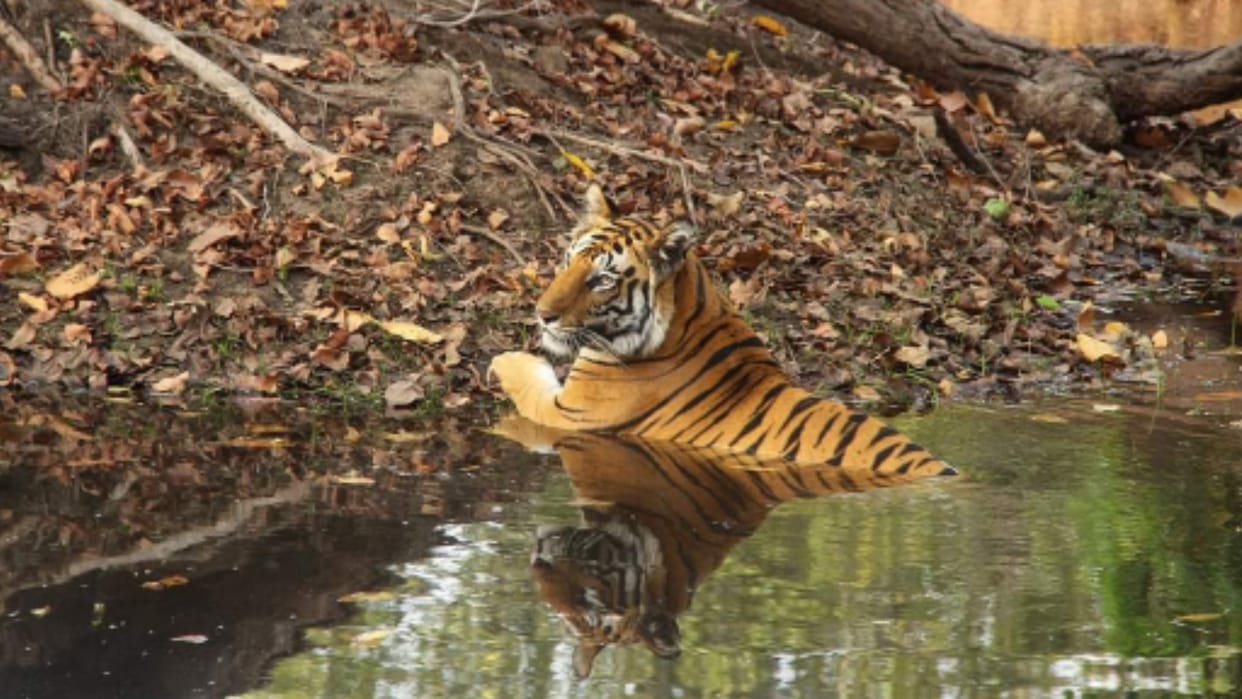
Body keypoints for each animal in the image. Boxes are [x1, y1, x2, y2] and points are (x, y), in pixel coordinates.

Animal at [489, 185, 954, 474]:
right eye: (569, 260)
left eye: (601, 280)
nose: (542, 314)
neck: (691, 313)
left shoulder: (565, 414)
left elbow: (522, 376)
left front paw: (501, 359)